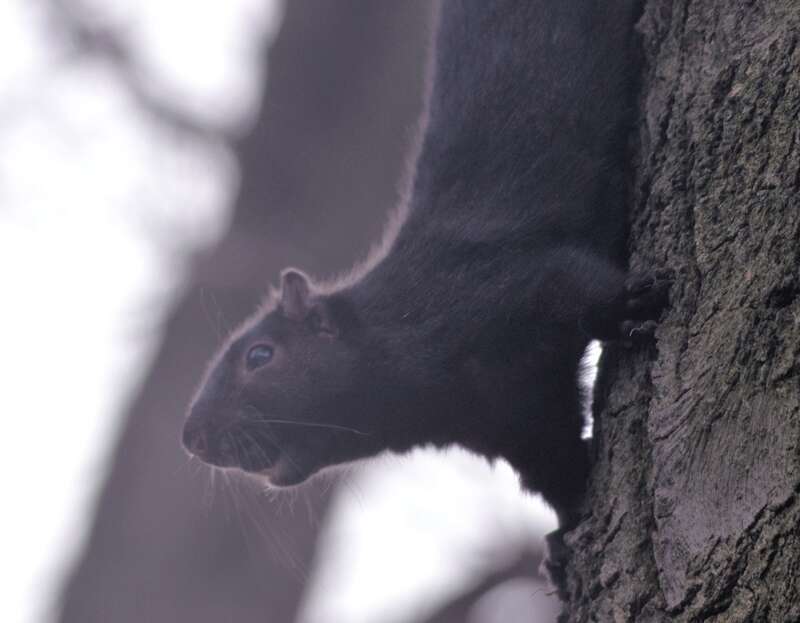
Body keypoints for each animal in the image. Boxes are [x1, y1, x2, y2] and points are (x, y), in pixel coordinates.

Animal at [183, 0, 668, 532]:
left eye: (260, 356)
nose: (192, 437)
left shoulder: (504, 280)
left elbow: (573, 284)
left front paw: (629, 308)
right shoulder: (507, 420)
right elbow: (553, 465)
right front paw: (564, 536)